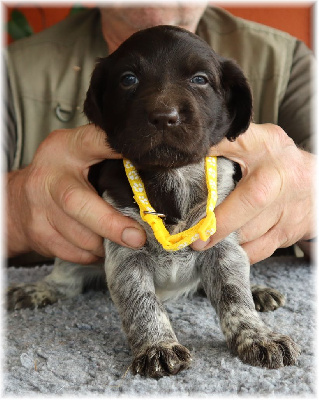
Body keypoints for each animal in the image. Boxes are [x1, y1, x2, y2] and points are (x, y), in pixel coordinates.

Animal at [8, 25, 302, 378]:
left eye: (200, 79)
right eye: (128, 79)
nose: (164, 116)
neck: (171, 172)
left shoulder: (221, 245)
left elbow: (234, 294)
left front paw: (257, 336)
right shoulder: (126, 252)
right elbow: (142, 303)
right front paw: (157, 346)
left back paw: (257, 290)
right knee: (67, 279)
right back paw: (41, 288)